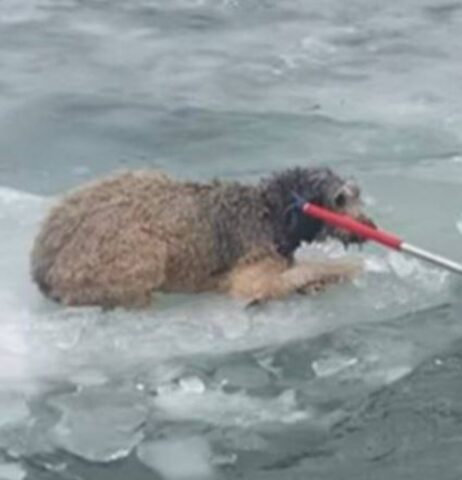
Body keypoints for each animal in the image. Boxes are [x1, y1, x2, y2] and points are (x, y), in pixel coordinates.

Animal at [29, 166, 376, 308]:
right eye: (340, 199)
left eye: (357, 193)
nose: (369, 224)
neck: (272, 210)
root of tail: (41, 269)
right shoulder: (252, 275)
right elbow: (291, 275)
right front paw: (339, 271)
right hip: (141, 252)